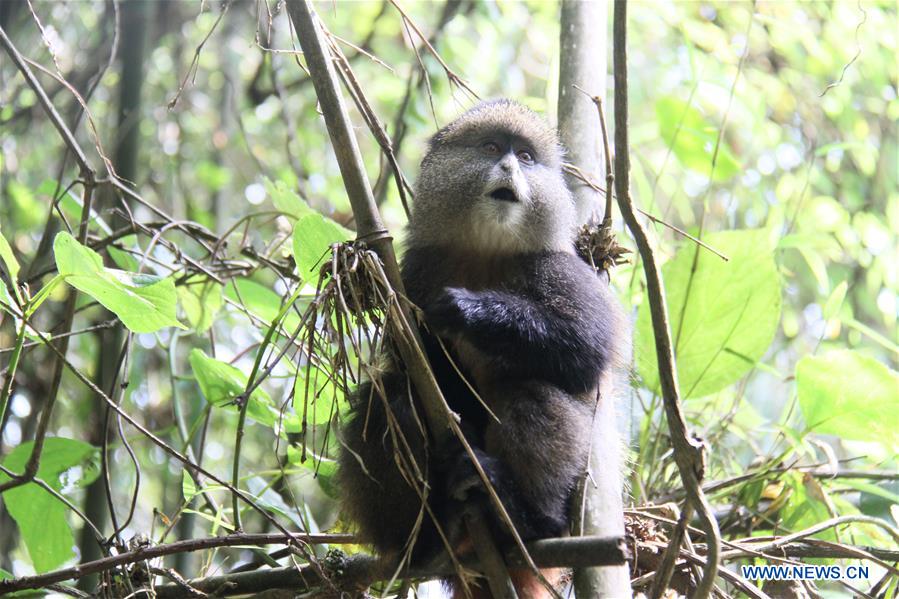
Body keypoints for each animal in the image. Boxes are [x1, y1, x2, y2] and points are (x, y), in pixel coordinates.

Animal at [336, 99, 626, 598]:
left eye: (526, 157)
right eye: (491, 148)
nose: (509, 166)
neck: (484, 251)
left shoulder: (560, 269)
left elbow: (585, 350)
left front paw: (468, 310)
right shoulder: (417, 270)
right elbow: (414, 369)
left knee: (529, 390)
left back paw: (525, 518)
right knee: (388, 401)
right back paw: (426, 538)